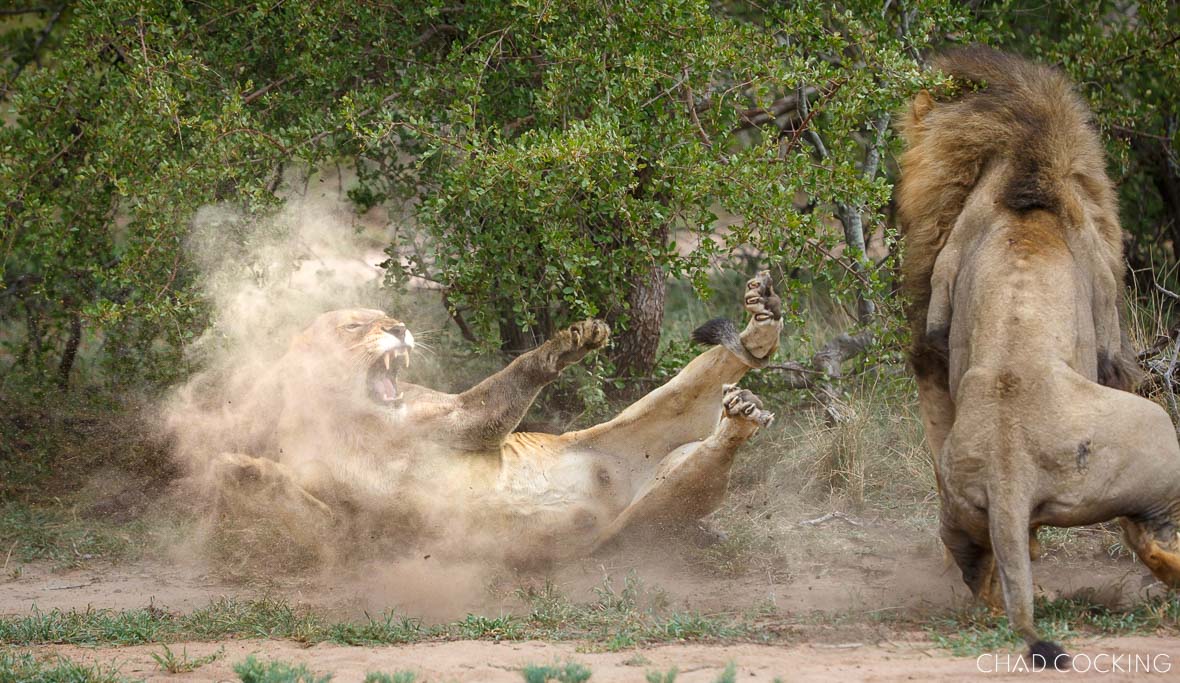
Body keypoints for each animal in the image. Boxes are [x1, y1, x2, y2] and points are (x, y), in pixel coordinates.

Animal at [170, 272, 782, 567]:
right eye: (355, 326)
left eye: (387, 316)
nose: (399, 327)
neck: (356, 420)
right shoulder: (353, 530)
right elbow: (319, 521)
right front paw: (241, 471)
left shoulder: (459, 421)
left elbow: (507, 380)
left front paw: (572, 341)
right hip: (665, 499)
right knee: (708, 454)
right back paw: (744, 404)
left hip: (668, 422)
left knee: (723, 381)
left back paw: (762, 324)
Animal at [897, 46, 1180, 669]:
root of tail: (1010, 469)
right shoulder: (1108, 313)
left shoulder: (939, 304)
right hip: (1155, 426)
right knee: (1147, 532)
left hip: (964, 502)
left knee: (988, 564)